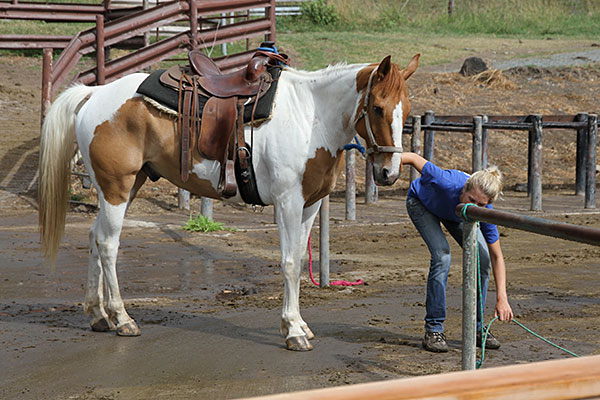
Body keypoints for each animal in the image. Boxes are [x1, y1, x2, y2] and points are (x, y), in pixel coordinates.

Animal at [39, 52, 420, 350]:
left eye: (407, 110)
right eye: (377, 108)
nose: (389, 173)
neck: (310, 116)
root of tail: (95, 93)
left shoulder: (310, 205)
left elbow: (298, 259)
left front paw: (299, 324)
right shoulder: (287, 202)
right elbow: (289, 264)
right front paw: (293, 331)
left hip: (125, 187)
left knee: (93, 237)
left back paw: (98, 315)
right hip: (117, 188)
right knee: (107, 243)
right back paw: (121, 318)